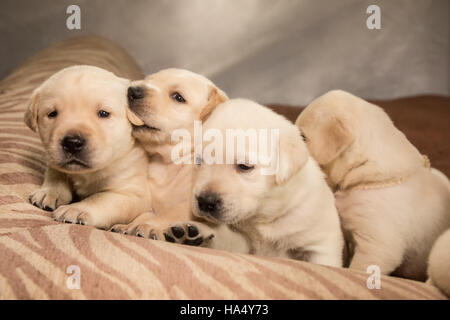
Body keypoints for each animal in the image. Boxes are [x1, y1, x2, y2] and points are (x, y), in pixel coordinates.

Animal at [24, 65, 151, 230]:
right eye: (52, 114)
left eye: (103, 113)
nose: (72, 142)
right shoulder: (54, 159)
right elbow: (56, 172)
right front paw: (49, 192)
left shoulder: (133, 195)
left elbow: (101, 197)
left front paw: (76, 209)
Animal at [174, 98, 342, 268]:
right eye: (199, 160)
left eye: (244, 166)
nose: (205, 202)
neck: (263, 217)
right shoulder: (242, 241)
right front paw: (197, 233)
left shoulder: (320, 246)